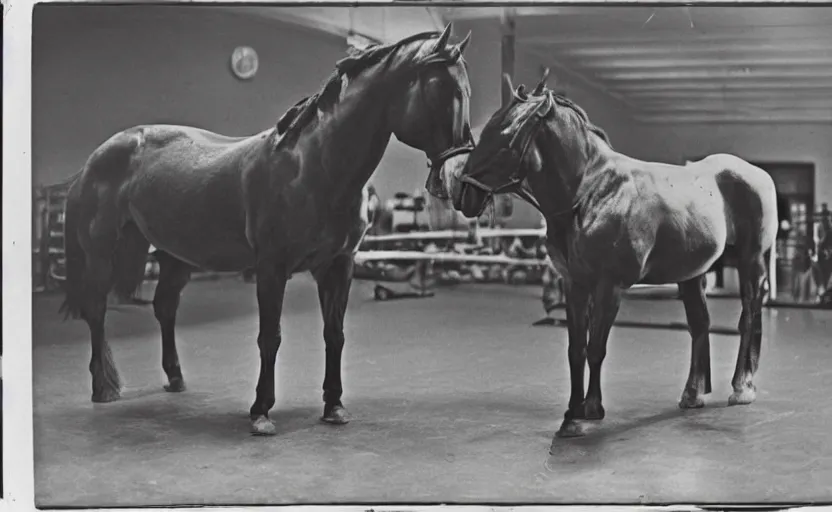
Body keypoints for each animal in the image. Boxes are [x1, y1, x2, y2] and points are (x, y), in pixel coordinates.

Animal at [61, 26, 472, 436]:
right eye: (440, 88)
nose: (458, 177)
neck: (313, 167)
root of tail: (95, 160)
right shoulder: (271, 268)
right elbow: (270, 337)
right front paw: (261, 412)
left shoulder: (338, 265)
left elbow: (334, 334)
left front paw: (334, 406)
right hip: (101, 255)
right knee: (96, 311)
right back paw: (104, 387)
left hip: (174, 256)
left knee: (164, 307)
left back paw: (175, 378)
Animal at [448, 71, 780, 440]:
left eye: (506, 137)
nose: (462, 193)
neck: (591, 193)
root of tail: (757, 174)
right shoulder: (575, 285)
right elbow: (576, 350)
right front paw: (571, 413)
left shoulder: (610, 286)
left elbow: (596, 347)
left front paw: (590, 411)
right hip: (692, 273)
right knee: (700, 325)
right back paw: (693, 394)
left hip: (752, 260)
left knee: (748, 317)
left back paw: (742, 388)